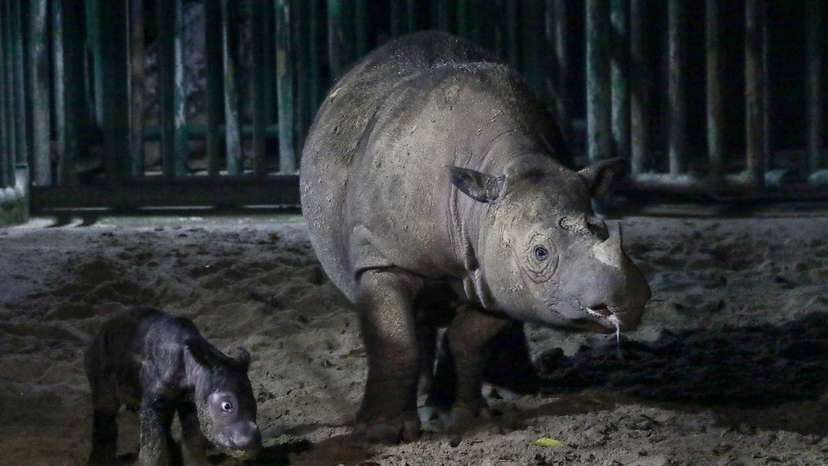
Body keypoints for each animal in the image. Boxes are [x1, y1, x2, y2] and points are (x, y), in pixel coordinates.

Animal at [300, 31, 650, 442]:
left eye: (601, 229)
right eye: (540, 253)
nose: (629, 300)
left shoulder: (497, 270)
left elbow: (469, 337)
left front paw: (456, 417)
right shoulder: (382, 257)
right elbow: (396, 339)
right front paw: (383, 431)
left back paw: (512, 390)